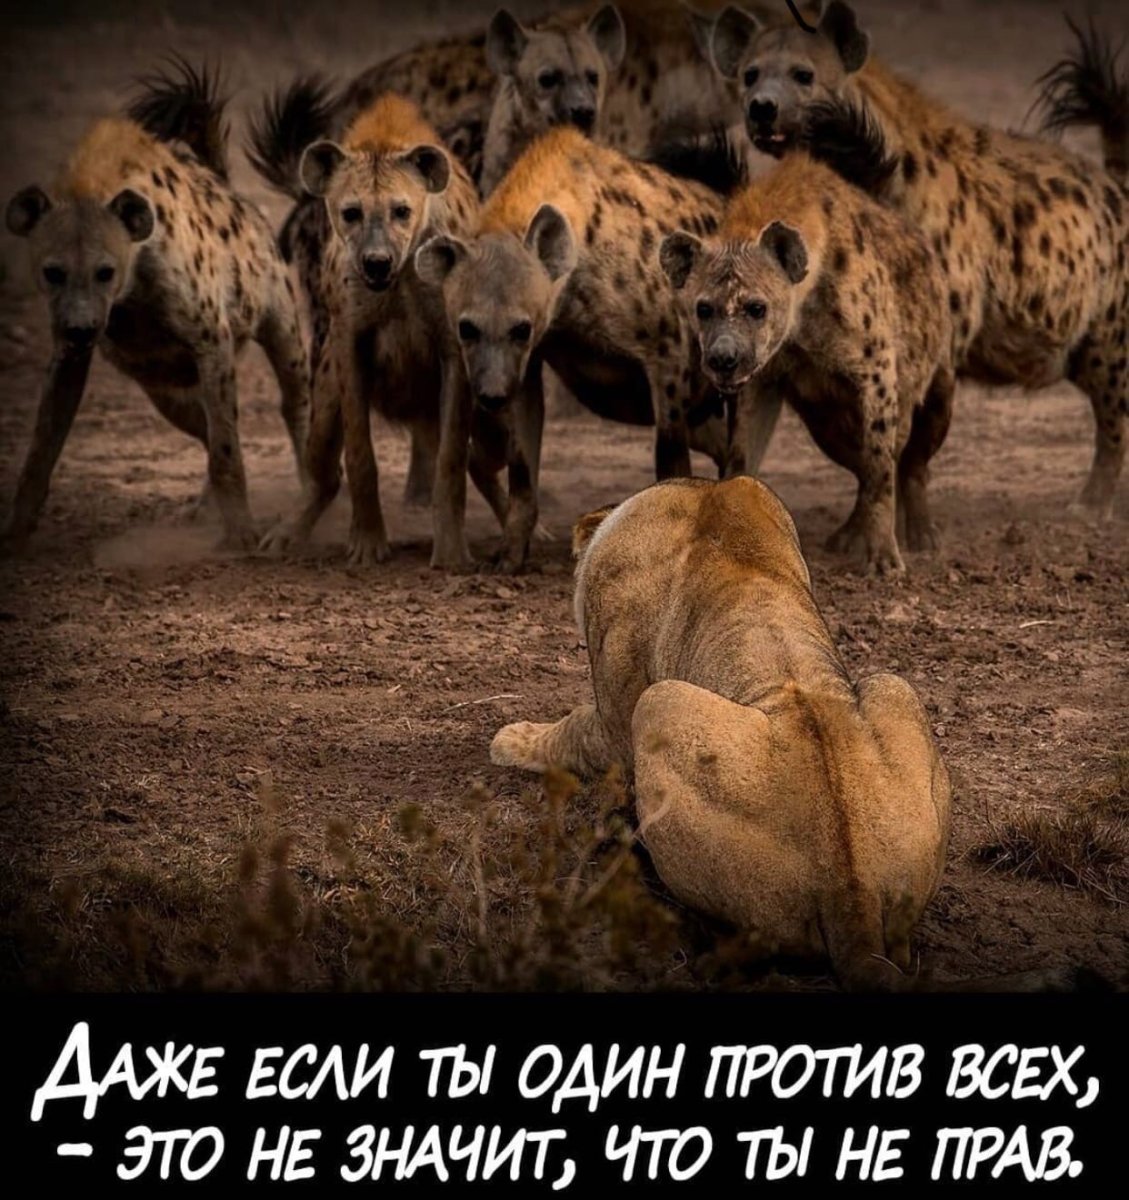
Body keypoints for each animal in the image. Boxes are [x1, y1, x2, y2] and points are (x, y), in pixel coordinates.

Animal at [490, 475, 951, 990]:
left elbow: (570, 731)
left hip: (660, 704)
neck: (702, 491)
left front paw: (508, 739)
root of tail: (852, 895)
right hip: (895, 687)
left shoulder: (616, 716)